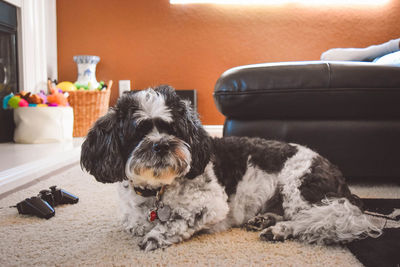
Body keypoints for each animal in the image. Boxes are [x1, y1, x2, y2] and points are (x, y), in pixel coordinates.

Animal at [80, 85, 382, 251]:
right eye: (138, 132)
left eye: (174, 130)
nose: (162, 145)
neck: (158, 191)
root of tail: (337, 174)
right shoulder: (132, 216)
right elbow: (133, 223)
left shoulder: (212, 205)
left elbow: (178, 221)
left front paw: (156, 236)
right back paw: (264, 220)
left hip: (299, 188)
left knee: (321, 218)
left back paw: (280, 230)